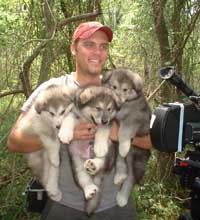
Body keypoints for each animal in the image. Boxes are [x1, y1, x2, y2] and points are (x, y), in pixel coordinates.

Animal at [102, 68, 151, 206]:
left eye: (125, 89)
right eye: (113, 87)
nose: (117, 98)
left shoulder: (136, 119)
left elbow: (124, 131)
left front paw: (124, 146)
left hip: (137, 158)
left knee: (131, 177)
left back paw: (122, 197)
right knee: (121, 162)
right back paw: (120, 176)